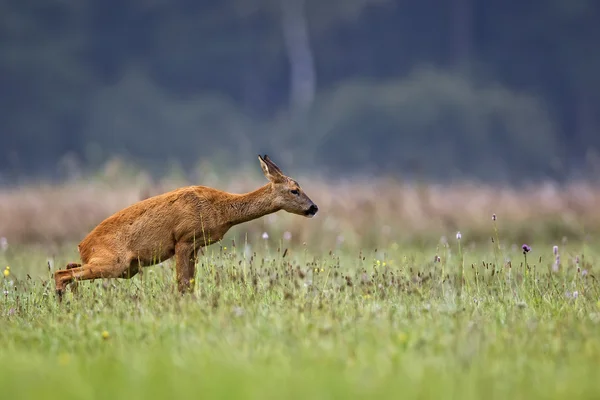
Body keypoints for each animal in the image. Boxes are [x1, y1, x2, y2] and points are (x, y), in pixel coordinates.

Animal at [54, 156, 318, 300]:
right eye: (294, 190)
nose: (314, 207)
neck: (220, 210)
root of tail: (83, 245)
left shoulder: (195, 246)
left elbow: (190, 284)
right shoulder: (183, 239)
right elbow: (182, 284)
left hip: (123, 267)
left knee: (69, 268)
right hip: (116, 263)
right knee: (61, 273)